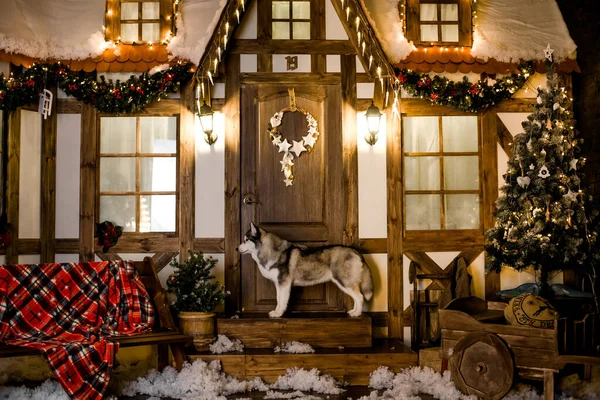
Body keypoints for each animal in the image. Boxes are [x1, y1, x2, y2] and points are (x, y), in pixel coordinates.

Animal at [237, 223, 372, 318]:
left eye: (246, 240)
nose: (236, 248)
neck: (270, 251)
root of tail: (354, 250)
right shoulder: (279, 284)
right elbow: (278, 299)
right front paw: (277, 311)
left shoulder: (283, 284)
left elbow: (281, 301)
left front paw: (278, 313)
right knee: (356, 297)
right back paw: (354, 311)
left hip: (344, 282)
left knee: (360, 297)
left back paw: (357, 314)